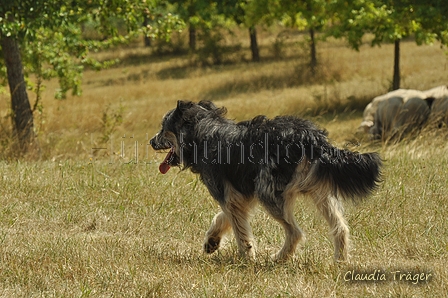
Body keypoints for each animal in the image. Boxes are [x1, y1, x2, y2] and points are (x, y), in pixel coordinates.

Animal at [150, 101, 382, 262]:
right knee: (340, 228)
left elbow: (239, 230)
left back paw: (280, 258)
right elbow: (224, 217)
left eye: (163, 128)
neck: (201, 130)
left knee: (295, 232)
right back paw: (340, 261)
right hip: (319, 192)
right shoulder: (242, 195)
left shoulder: (230, 194)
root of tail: (311, 138)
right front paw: (212, 242)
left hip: (269, 194)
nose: (151, 141)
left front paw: (247, 257)